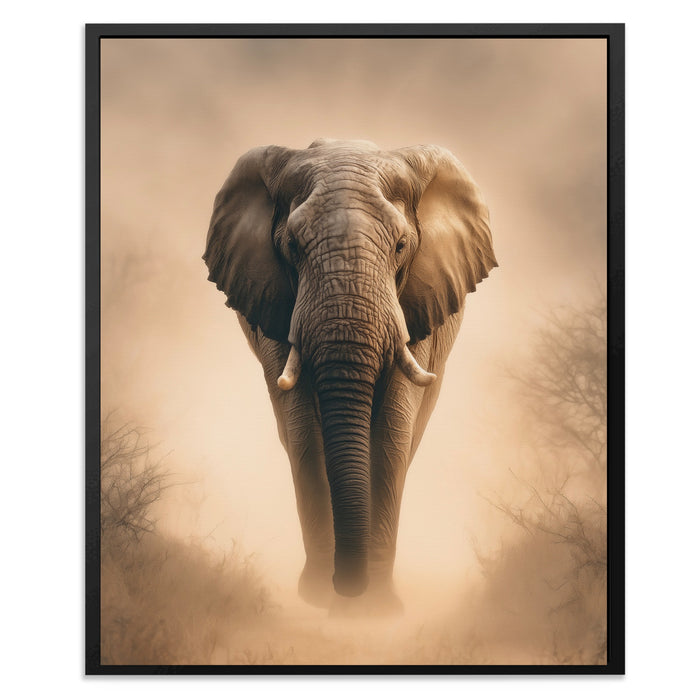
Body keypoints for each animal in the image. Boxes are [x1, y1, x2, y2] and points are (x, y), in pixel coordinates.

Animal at [203, 138, 496, 613]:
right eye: (292, 247)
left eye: (401, 245)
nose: (347, 586)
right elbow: (304, 431)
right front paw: (323, 598)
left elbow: (393, 429)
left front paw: (374, 609)